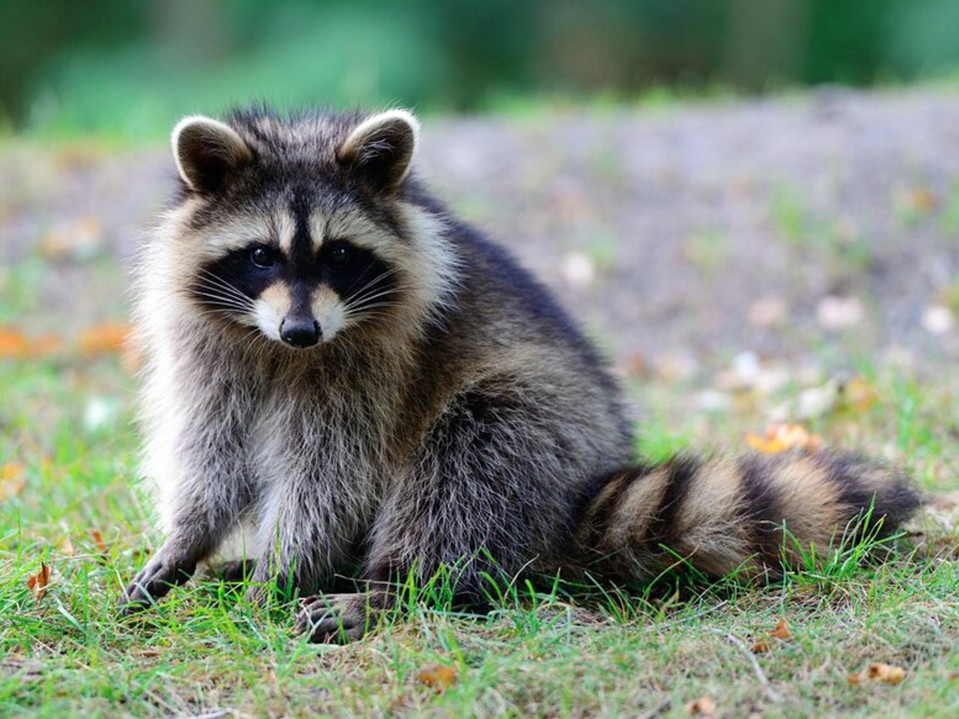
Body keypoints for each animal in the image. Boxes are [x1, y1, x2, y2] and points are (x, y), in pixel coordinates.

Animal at [122, 107, 924, 640]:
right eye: (261, 255)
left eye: (339, 255)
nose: (301, 330)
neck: (280, 350)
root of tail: (583, 489)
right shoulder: (210, 348)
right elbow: (212, 454)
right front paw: (189, 540)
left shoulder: (374, 363)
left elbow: (330, 474)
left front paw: (286, 570)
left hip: (537, 427)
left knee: (468, 464)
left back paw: (392, 587)